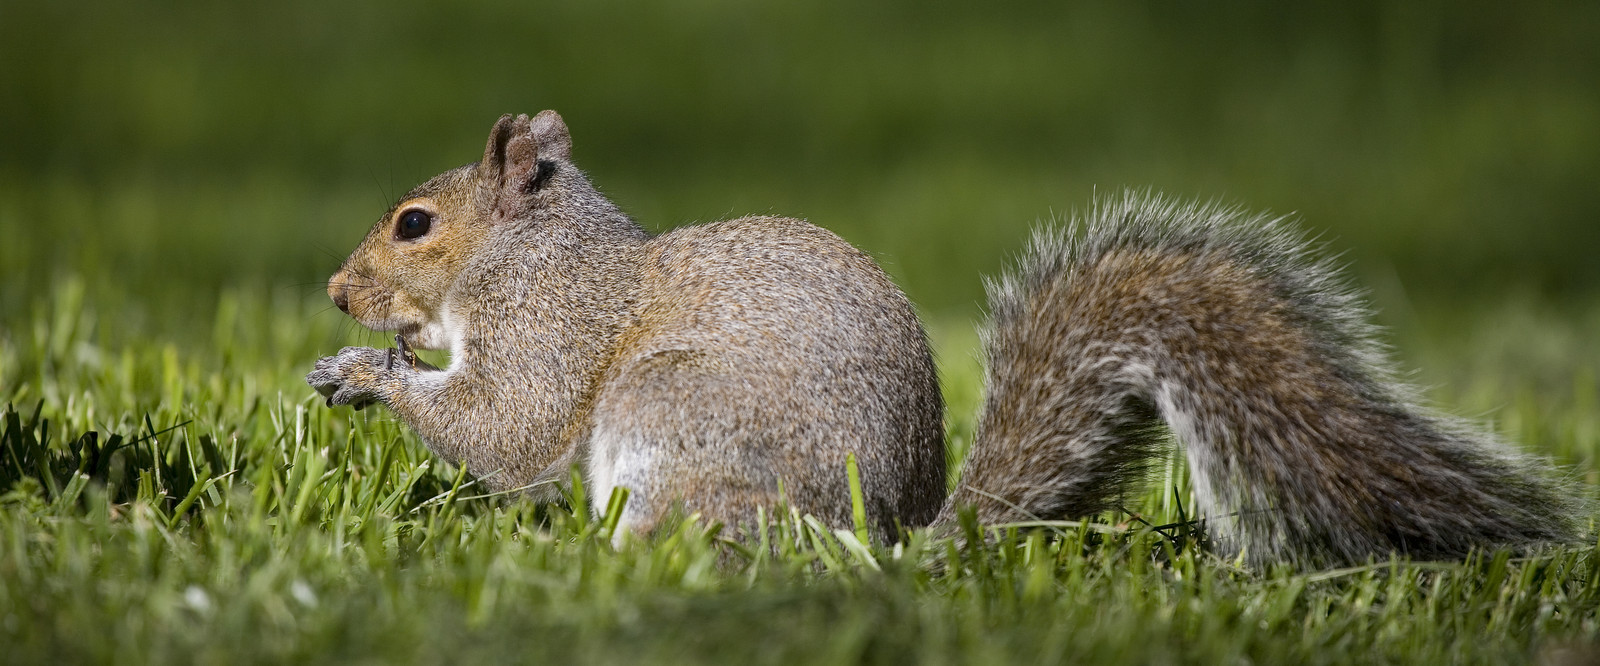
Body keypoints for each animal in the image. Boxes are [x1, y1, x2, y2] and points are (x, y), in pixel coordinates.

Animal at [305, 112, 1580, 563]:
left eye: (415, 224)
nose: (333, 290)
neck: (529, 256)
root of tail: (899, 539)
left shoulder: (551, 337)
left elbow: (509, 430)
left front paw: (368, 373)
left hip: (671, 419)